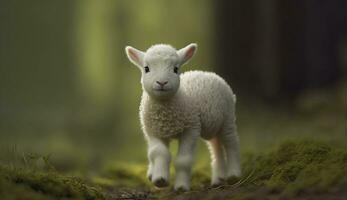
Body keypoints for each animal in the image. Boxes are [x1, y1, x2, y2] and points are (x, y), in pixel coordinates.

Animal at [125, 43, 242, 191]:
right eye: (146, 68)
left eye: (176, 69)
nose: (162, 82)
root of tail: (209, 73)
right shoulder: (153, 131)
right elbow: (159, 153)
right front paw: (160, 179)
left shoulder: (191, 129)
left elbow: (183, 160)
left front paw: (181, 187)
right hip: (211, 126)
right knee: (216, 147)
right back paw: (218, 179)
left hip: (228, 118)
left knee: (231, 144)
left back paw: (233, 175)